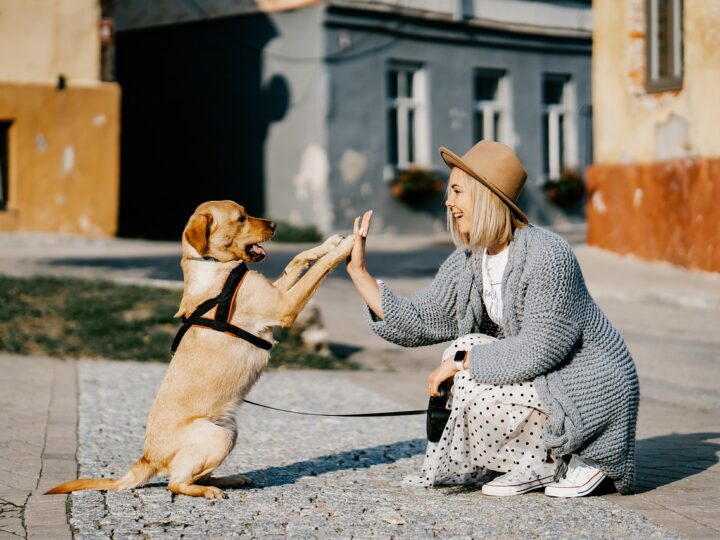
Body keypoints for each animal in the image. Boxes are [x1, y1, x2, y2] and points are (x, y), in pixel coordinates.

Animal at [46, 200, 356, 500]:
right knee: (176, 483)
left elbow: (298, 259)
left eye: (246, 212)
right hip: (217, 437)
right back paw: (208, 491)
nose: (275, 224)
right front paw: (348, 245)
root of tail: (147, 458)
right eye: (241, 218)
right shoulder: (284, 306)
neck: (213, 266)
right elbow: (319, 269)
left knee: (195, 475)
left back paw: (229, 479)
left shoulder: (277, 293)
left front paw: (330, 242)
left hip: (230, 431)